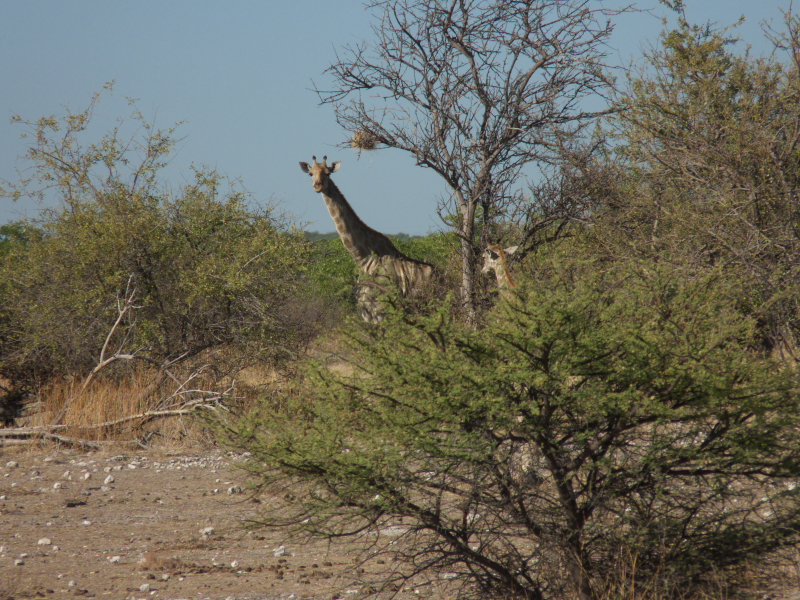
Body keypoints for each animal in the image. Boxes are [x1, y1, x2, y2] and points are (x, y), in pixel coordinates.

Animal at [299, 156, 437, 323]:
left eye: (328, 173)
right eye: (310, 174)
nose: (318, 186)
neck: (363, 260)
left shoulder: (381, 312)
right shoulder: (365, 314)